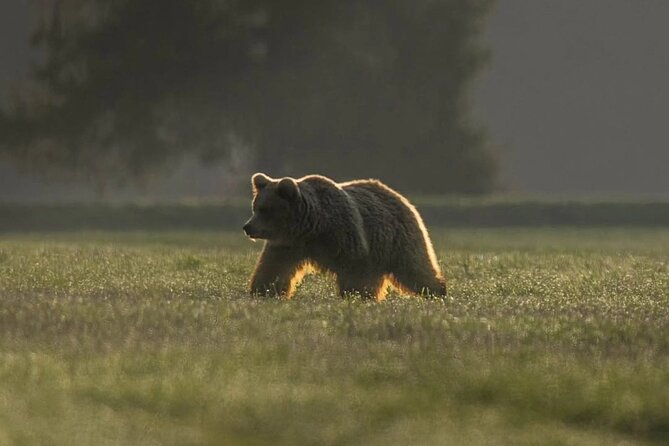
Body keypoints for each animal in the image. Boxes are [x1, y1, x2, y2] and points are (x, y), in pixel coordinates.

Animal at [243, 173, 446, 300]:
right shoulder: (288, 246)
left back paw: (437, 291)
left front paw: (356, 295)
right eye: (255, 207)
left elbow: (355, 269)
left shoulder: (345, 236)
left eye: (265, 209)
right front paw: (262, 291)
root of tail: (399, 196)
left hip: (397, 240)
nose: (247, 227)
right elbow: (273, 269)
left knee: (416, 268)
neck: (311, 228)